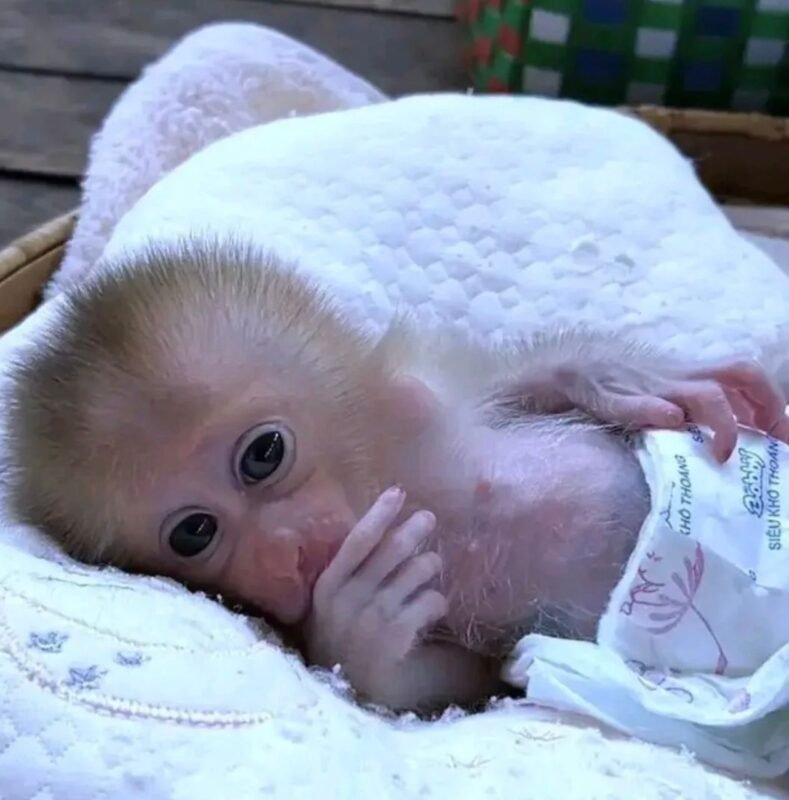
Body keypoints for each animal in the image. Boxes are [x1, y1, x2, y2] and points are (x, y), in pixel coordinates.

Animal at [5, 237, 789, 714]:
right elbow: (442, 683)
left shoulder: (423, 402)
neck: (386, 473)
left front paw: (616, 379)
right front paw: (358, 620)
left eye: (263, 454)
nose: (283, 552)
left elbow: (519, 392)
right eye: (195, 534)